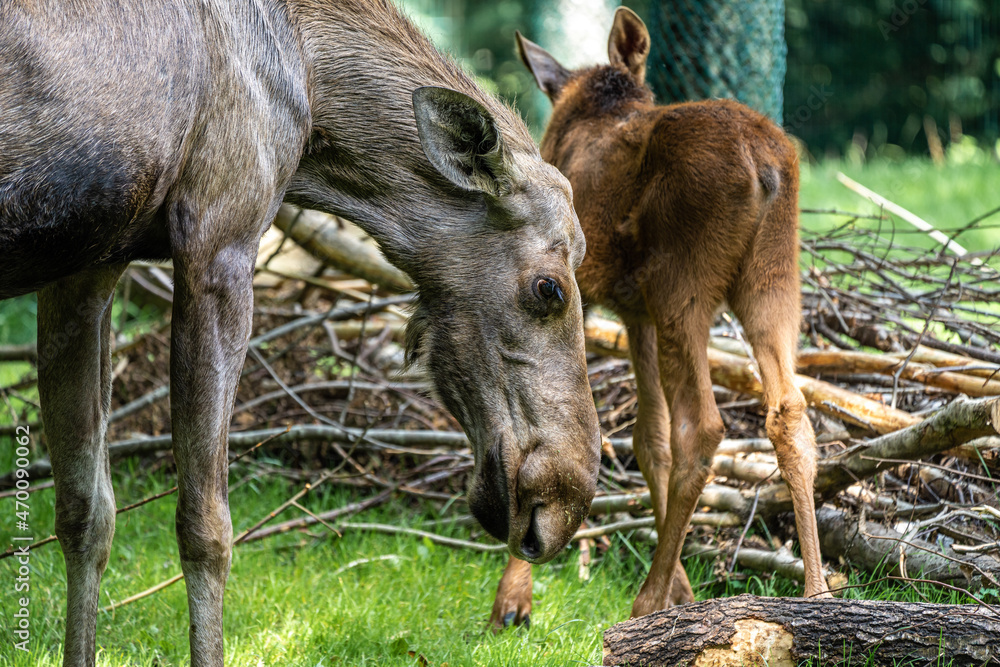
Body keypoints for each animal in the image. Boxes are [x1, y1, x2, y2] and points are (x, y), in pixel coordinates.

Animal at [0, 1, 603, 665]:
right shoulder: (219, 244)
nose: (562, 503)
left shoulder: (84, 270)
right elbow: (207, 528)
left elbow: (86, 515)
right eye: (549, 288)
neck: (310, 77)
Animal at [487, 7, 832, 629]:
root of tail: (763, 165)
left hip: (683, 286)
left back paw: (644, 601)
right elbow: (650, 443)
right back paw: (817, 592)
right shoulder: (635, 312)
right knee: (789, 411)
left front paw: (514, 597)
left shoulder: (584, 293)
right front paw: (684, 590)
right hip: (771, 280)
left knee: (703, 426)